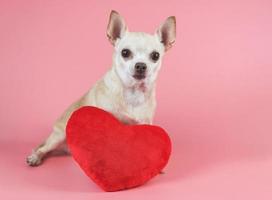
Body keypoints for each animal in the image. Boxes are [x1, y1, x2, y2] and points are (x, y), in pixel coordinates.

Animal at [26, 9, 175, 166]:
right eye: (125, 53)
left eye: (155, 55)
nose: (140, 65)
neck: (132, 92)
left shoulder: (143, 124)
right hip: (58, 136)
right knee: (43, 148)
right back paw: (36, 156)